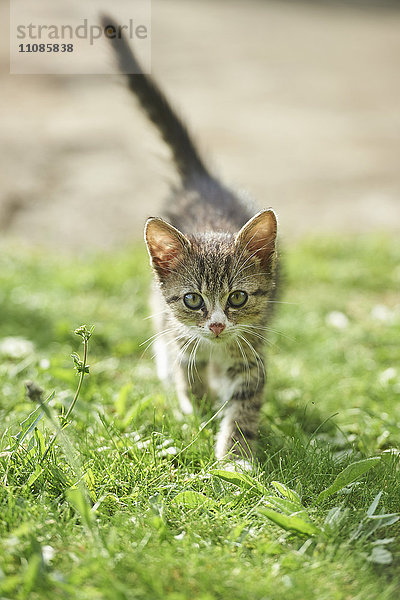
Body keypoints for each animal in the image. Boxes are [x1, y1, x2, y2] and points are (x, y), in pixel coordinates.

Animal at [103, 12, 278, 464]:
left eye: (238, 298)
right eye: (193, 300)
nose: (216, 326)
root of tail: (202, 182)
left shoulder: (251, 349)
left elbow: (245, 401)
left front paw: (235, 456)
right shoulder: (181, 333)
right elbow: (188, 371)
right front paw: (196, 410)